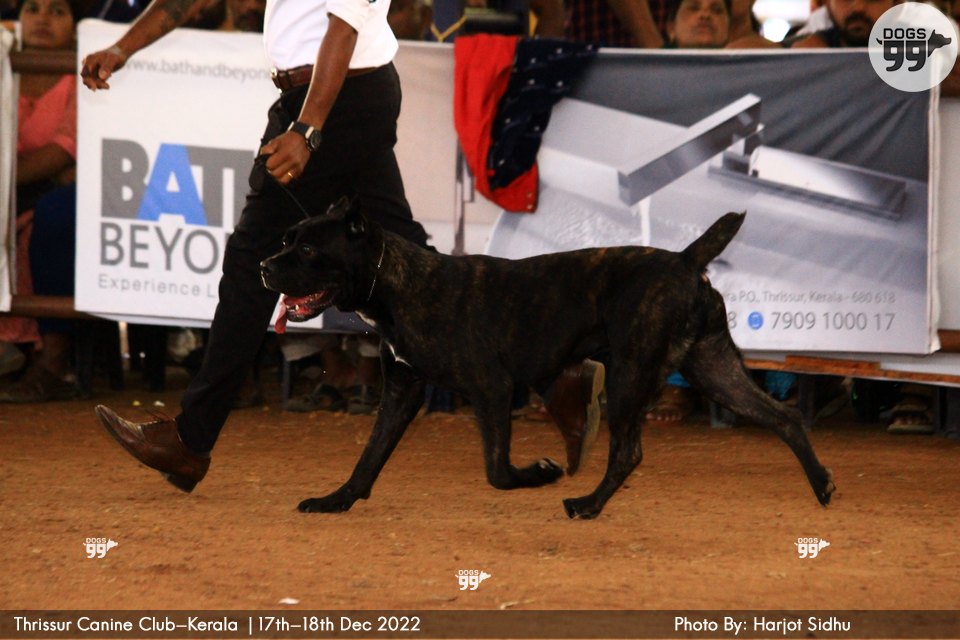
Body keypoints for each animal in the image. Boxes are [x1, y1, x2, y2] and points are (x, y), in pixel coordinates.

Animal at [260, 197, 835, 518]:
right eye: (288, 239)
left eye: (309, 250)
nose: (265, 266)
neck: (399, 285)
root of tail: (685, 260)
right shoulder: (401, 390)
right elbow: (369, 457)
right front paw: (336, 500)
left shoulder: (491, 390)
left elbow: (497, 471)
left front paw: (542, 471)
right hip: (713, 368)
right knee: (784, 417)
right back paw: (822, 484)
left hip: (633, 373)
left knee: (628, 452)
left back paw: (587, 505)